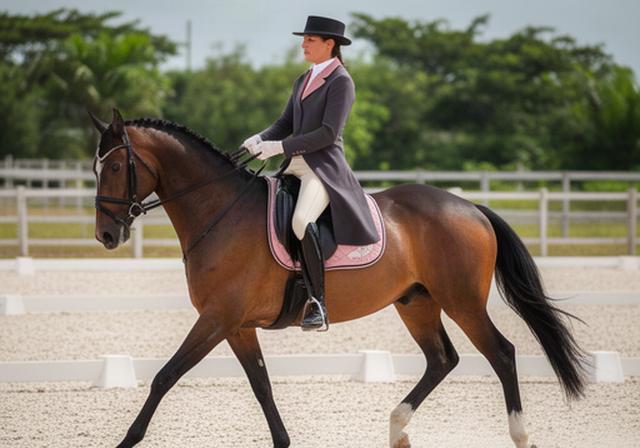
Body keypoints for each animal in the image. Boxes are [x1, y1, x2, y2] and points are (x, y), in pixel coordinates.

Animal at [89, 108, 588, 448]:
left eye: (113, 167)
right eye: (95, 168)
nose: (107, 235)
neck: (220, 211)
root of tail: (470, 207)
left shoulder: (217, 317)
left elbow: (165, 376)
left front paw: (126, 440)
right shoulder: (237, 325)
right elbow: (261, 385)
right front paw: (284, 443)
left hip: (462, 301)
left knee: (501, 353)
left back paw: (520, 435)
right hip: (417, 302)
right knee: (442, 359)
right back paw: (397, 429)